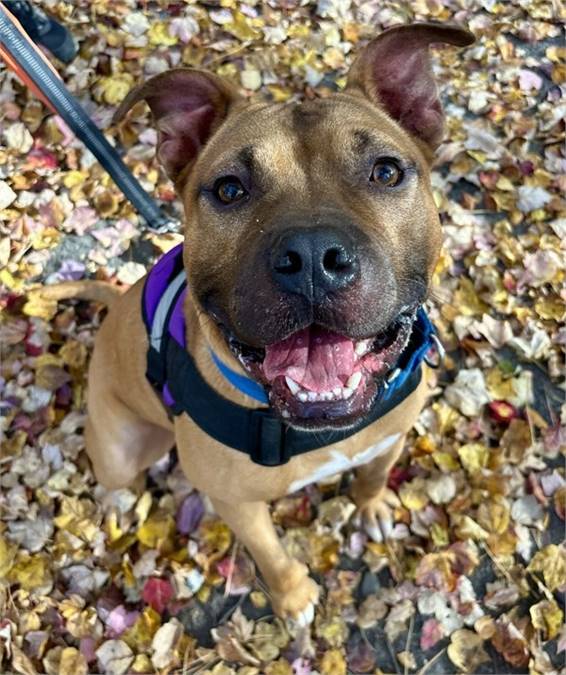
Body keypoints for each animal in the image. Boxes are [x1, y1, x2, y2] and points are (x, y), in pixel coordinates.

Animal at [35, 23, 474, 624]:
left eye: (385, 171)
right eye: (228, 189)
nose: (312, 258)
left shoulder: (391, 434)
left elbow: (373, 471)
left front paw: (372, 503)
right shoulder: (236, 501)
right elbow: (269, 551)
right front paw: (292, 595)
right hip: (121, 450)